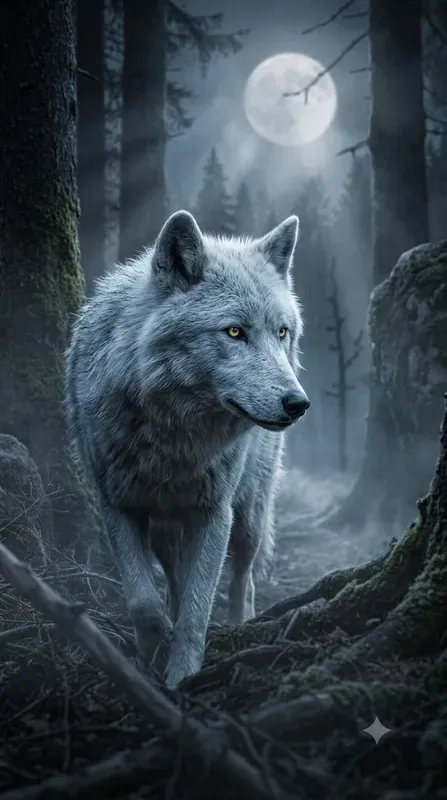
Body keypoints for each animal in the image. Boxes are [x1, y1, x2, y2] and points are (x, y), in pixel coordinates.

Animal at [65, 210, 310, 689]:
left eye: (282, 332)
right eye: (234, 331)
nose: (298, 403)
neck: (172, 437)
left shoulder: (214, 513)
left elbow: (199, 609)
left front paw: (181, 678)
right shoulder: (118, 506)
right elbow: (143, 601)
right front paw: (150, 650)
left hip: (249, 516)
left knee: (244, 576)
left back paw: (242, 621)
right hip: (165, 529)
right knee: (176, 576)